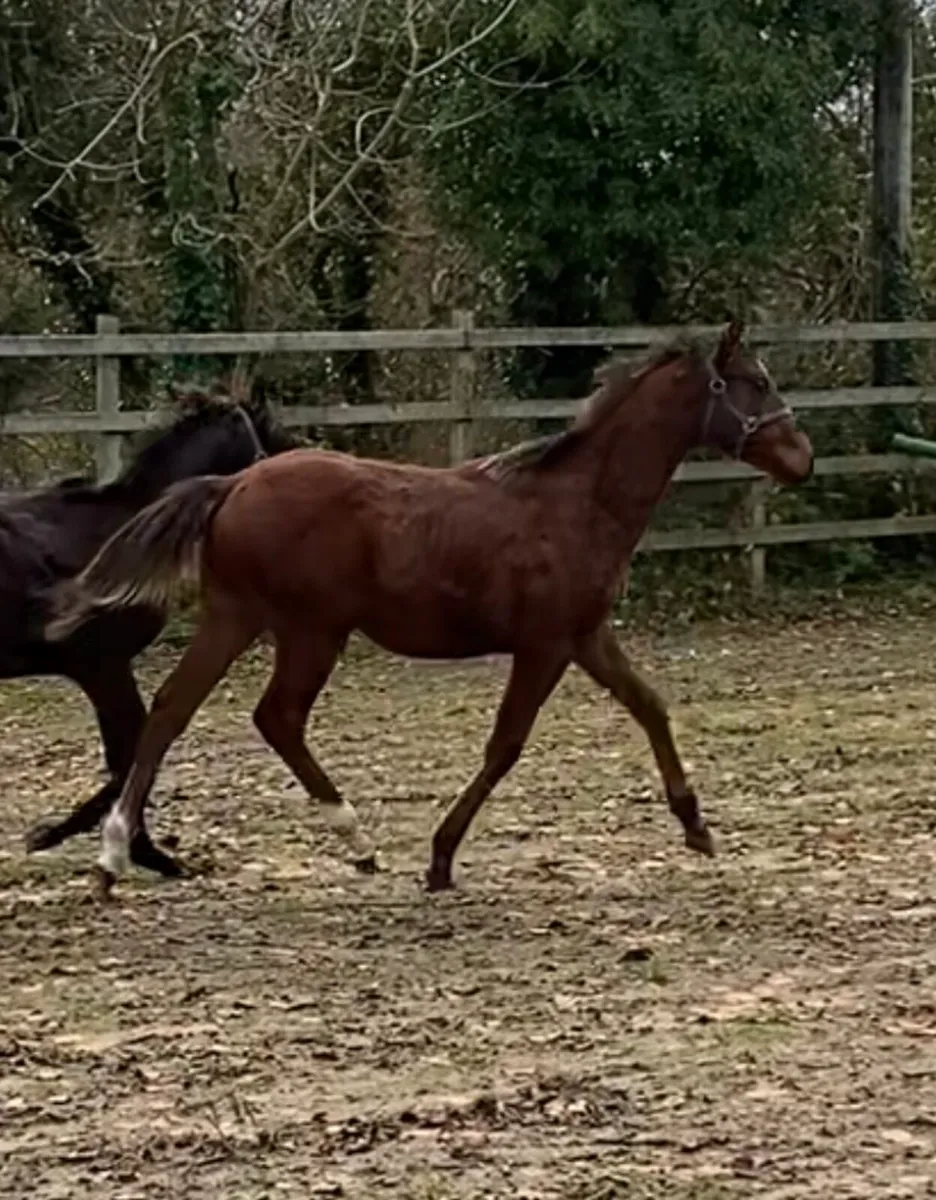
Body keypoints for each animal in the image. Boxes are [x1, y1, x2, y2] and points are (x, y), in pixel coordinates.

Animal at [46, 321, 813, 898]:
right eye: (755, 380)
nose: (801, 457)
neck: (575, 503)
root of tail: (232, 483)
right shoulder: (544, 645)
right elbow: (506, 745)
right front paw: (441, 858)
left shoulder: (587, 635)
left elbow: (650, 706)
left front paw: (696, 827)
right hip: (309, 629)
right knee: (272, 716)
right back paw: (345, 837)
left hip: (239, 618)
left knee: (178, 709)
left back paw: (117, 859)